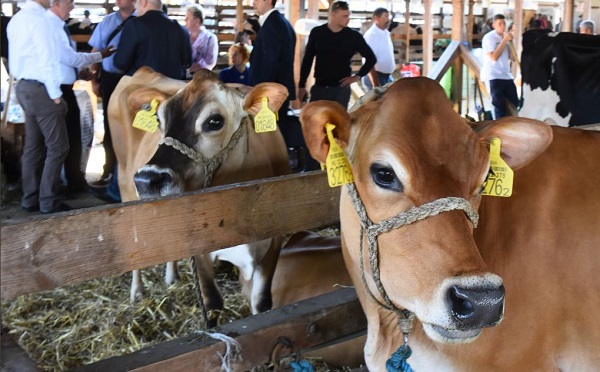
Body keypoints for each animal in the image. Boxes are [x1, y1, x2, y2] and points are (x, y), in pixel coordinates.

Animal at [108, 67, 290, 326]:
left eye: (215, 121)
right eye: (159, 120)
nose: (147, 179)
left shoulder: (274, 241)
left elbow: (262, 302)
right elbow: (211, 303)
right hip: (124, 181)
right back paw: (138, 291)